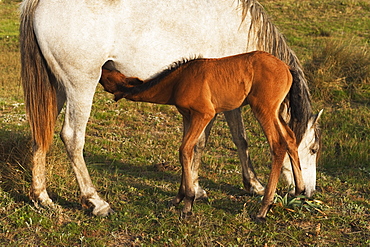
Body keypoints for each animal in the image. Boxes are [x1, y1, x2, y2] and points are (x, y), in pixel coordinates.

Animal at [19, 0, 320, 220]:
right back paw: (96, 201)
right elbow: (217, 142)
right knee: (72, 138)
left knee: (41, 133)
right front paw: (233, 187)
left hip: (57, 88)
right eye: (314, 149)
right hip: (81, 85)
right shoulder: (220, 104)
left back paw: (42, 197)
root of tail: (39, 4)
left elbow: (229, 140)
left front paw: (202, 188)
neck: (242, 29)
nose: (308, 192)